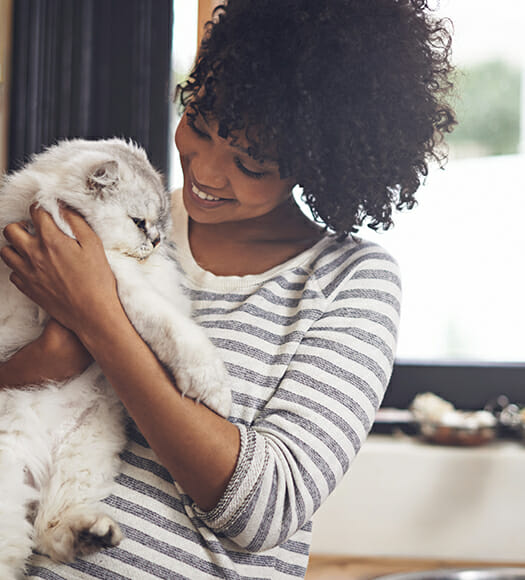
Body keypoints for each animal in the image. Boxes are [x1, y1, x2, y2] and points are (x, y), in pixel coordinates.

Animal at [0, 138, 231, 576]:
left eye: (160, 224)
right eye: (140, 222)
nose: (155, 242)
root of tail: (37, 460)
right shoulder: (113, 285)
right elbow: (173, 329)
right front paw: (213, 388)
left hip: (87, 449)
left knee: (49, 529)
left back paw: (94, 534)